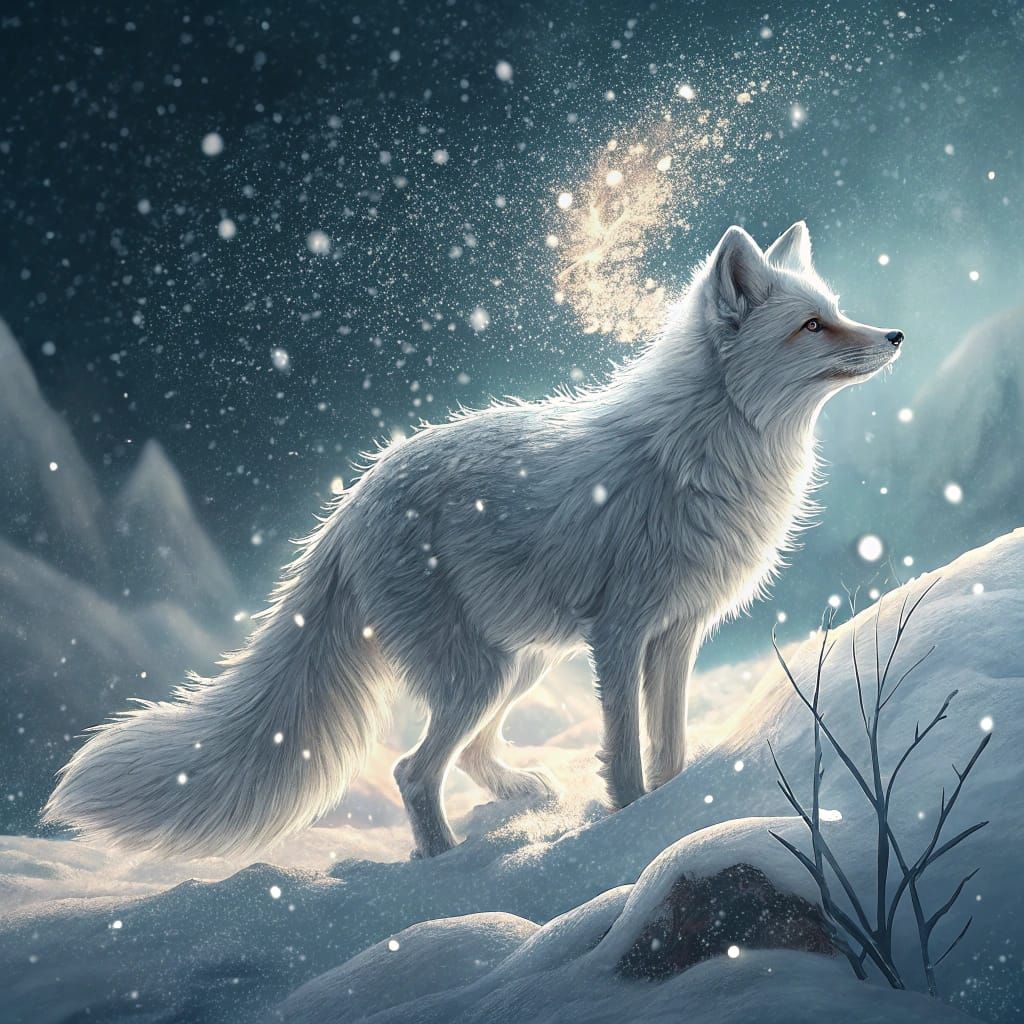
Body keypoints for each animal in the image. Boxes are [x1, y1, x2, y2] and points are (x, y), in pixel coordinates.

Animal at [44, 222, 903, 859]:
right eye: (813, 325)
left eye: (835, 309)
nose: (896, 334)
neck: (699, 452)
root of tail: (352, 499)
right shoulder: (622, 633)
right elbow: (626, 753)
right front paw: (625, 833)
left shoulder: (678, 633)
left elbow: (670, 748)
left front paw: (664, 817)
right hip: (483, 673)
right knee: (412, 769)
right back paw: (442, 864)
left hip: (519, 664)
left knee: (468, 756)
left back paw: (524, 800)